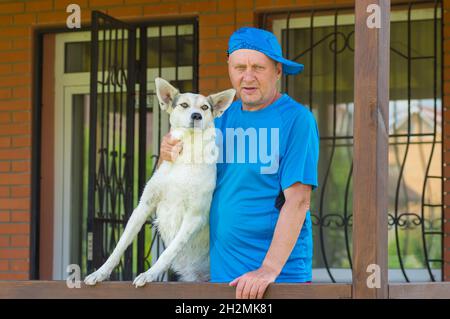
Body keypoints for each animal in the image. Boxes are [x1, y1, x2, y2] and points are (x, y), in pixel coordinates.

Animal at [85, 77, 237, 288]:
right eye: (184, 105)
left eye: (205, 107)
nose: (197, 115)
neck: (186, 155)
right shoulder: (143, 206)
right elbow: (120, 245)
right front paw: (100, 272)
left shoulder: (194, 216)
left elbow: (168, 252)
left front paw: (149, 274)